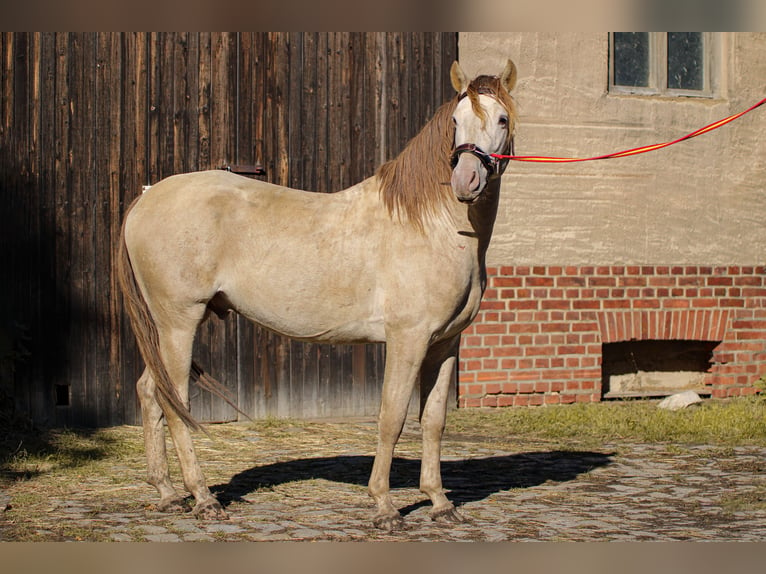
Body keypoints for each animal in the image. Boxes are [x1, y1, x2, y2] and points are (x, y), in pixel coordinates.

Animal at [117, 58, 520, 532]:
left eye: (502, 119)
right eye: (455, 121)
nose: (466, 180)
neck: (434, 226)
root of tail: (146, 199)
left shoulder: (444, 344)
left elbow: (433, 421)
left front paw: (439, 502)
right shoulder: (408, 339)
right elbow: (392, 418)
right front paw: (384, 506)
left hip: (164, 328)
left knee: (149, 393)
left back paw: (166, 493)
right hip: (179, 321)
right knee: (172, 398)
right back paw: (202, 498)